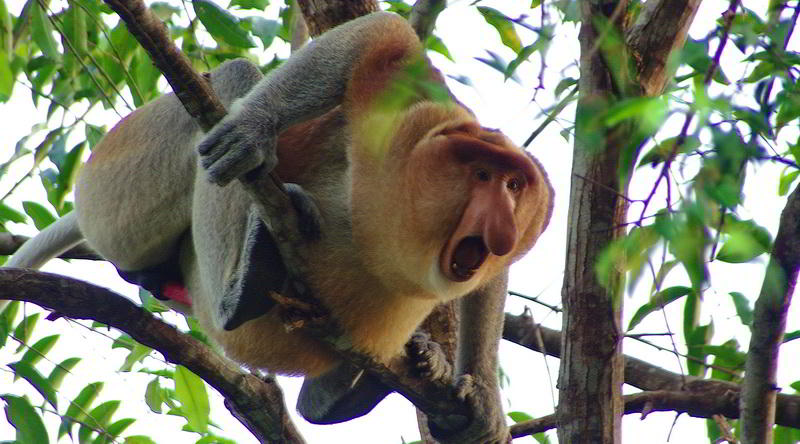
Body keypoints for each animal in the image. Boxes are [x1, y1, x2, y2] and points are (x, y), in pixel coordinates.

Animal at [7, 12, 556, 442]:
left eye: (513, 185)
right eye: (482, 177)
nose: (504, 224)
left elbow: (492, 280)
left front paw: (480, 401)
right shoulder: (404, 132)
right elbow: (382, 37)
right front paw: (254, 131)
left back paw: (345, 388)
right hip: (115, 185)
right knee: (231, 77)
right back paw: (243, 287)